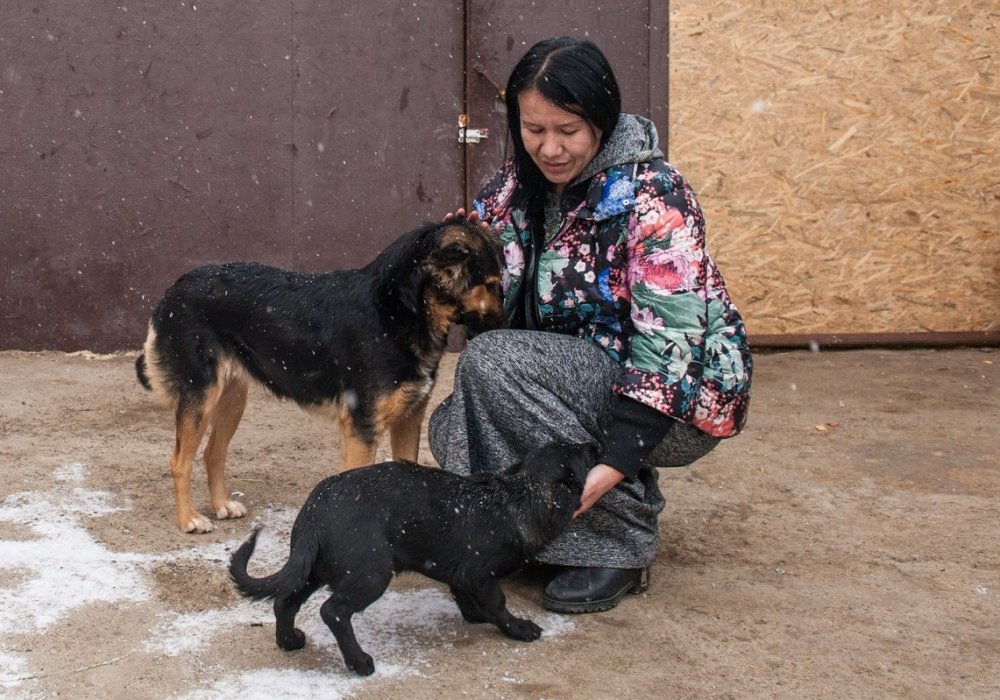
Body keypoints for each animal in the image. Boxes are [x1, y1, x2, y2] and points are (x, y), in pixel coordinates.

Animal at [137, 219, 504, 532]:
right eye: (492, 285)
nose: (506, 324)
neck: (397, 312)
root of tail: (174, 289)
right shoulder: (361, 428)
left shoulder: (408, 419)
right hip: (200, 397)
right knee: (179, 461)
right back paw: (189, 519)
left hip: (232, 398)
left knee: (213, 452)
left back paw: (221, 505)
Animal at [230, 440, 596, 676]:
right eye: (581, 453)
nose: (593, 441)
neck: (520, 494)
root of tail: (314, 510)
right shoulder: (479, 572)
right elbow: (498, 604)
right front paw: (519, 629)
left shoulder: (461, 574)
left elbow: (464, 596)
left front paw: (475, 615)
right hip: (371, 572)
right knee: (333, 610)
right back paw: (359, 662)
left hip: (312, 567)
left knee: (285, 600)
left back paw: (289, 641)